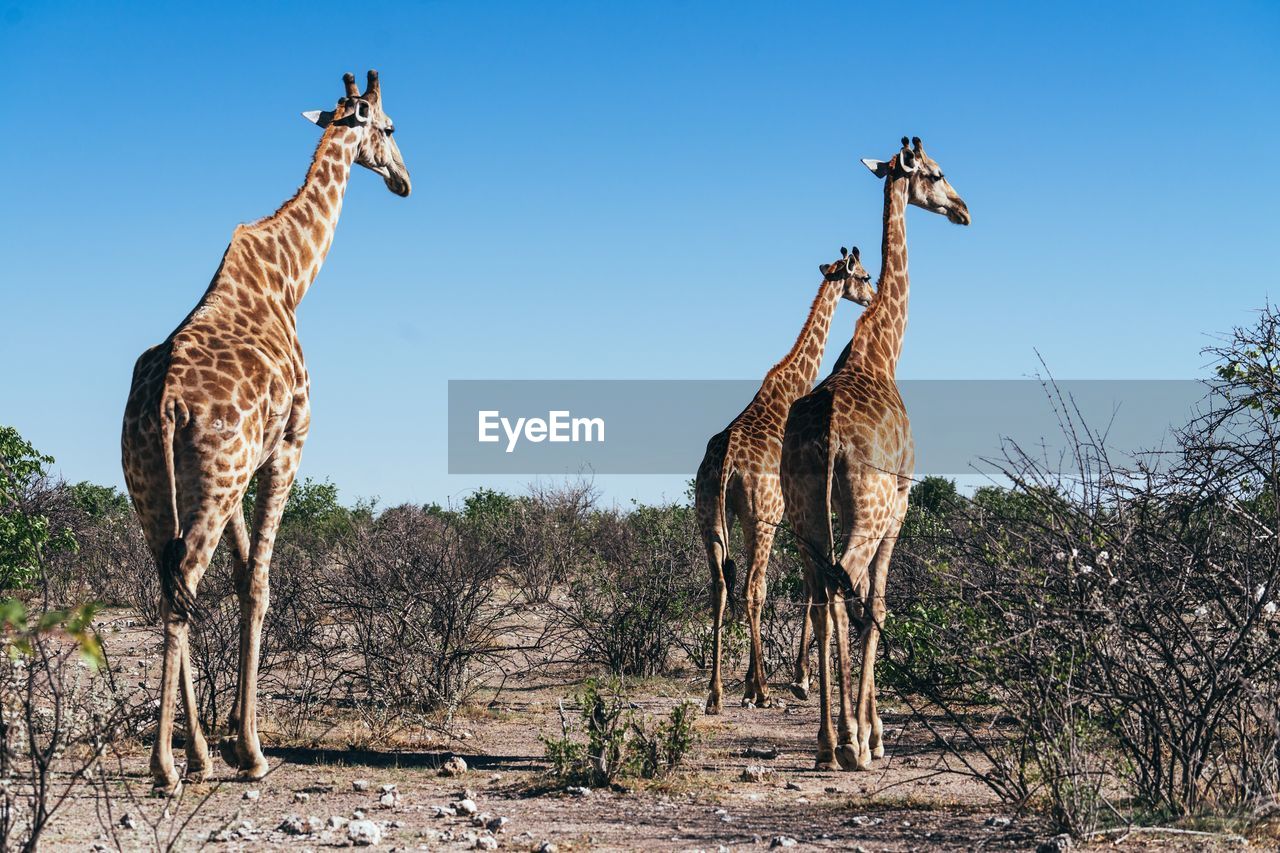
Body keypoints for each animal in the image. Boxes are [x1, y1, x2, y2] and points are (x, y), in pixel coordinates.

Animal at [120, 71, 409, 788]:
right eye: (390, 128)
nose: (404, 180)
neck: (290, 279)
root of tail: (163, 402)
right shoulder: (290, 442)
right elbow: (258, 582)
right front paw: (250, 750)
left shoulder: (244, 465)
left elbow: (243, 570)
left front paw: (225, 743)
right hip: (217, 476)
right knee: (184, 582)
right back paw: (165, 765)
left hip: (154, 483)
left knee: (168, 578)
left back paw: (192, 755)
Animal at [696, 245, 875, 712]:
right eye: (864, 276)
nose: (871, 297)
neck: (792, 384)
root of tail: (725, 465)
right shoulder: (790, 515)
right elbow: (806, 588)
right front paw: (797, 680)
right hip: (760, 518)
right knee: (753, 588)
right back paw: (759, 690)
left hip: (709, 516)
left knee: (719, 585)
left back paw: (716, 693)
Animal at [778, 136, 967, 768]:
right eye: (936, 173)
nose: (963, 210)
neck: (882, 349)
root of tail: (832, 432)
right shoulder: (899, 507)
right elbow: (879, 604)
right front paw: (874, 732)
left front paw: (863, 726)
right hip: (867, 509)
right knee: (844, 591)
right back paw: (850, 743)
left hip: (805, 516)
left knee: (821, 596)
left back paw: (825, 742)